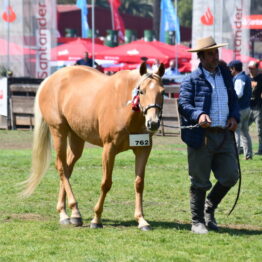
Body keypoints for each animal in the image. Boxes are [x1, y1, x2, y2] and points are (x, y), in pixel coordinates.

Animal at [23, 62, 166, 230]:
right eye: (142, 91)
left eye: (163, 92)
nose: (153, 123)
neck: (125, 106)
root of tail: (50, 79)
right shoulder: (109, 149)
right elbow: (106, 183)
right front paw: (96, 219)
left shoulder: (143, 149)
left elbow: (139, 183)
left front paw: (141, 220)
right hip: (58, 132)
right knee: (61, 168)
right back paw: (72, 213)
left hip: (76, 138)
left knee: (67, 169)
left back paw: (66, 212)